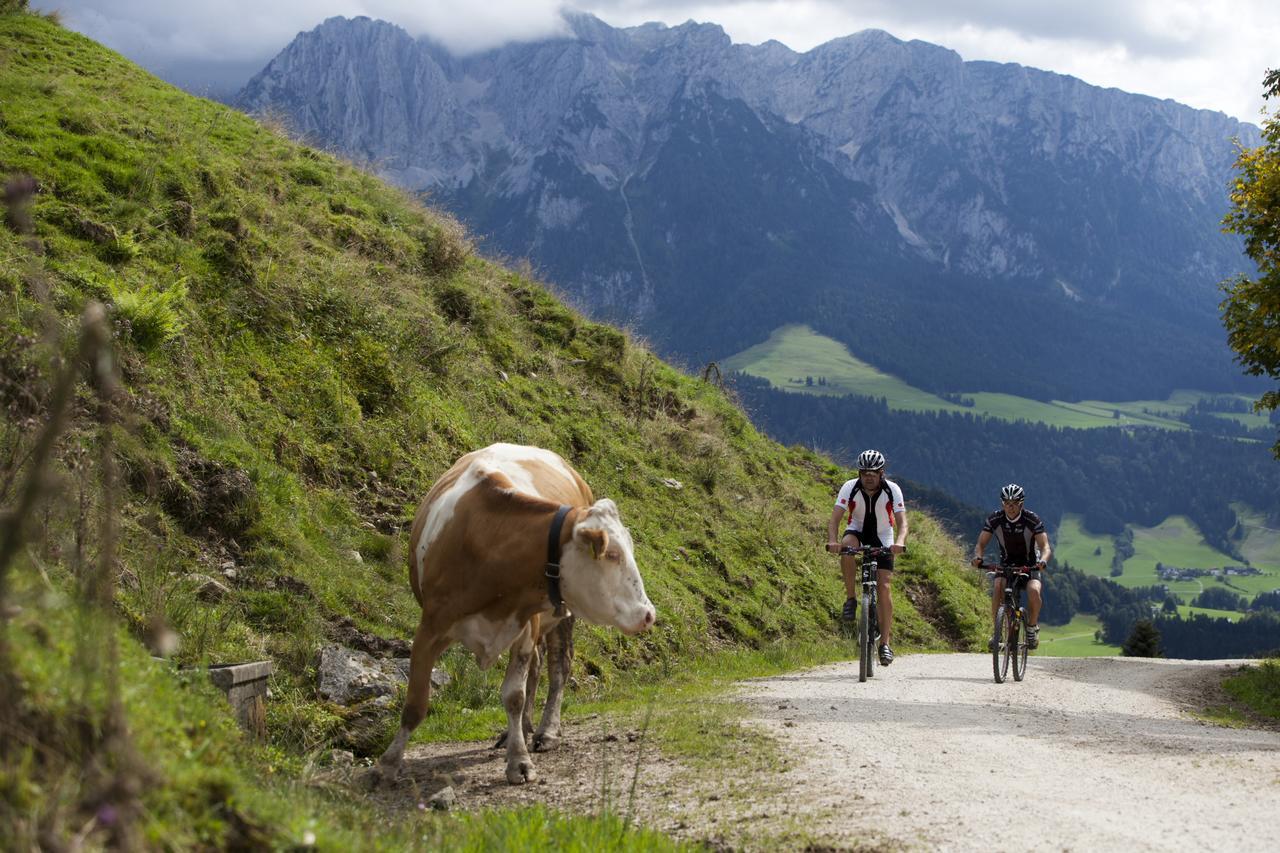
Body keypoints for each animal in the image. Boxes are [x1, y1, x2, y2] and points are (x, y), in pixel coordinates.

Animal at [371, 440, 650, 778]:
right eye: (611, 554)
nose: (648, 614)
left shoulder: (524, 628)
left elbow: (513, 696)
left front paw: (519, 760)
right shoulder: (429, 629)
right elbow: (415, 703)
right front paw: (387, 763)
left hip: (561, 617)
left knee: (559, 667)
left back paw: (545, 731)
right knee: (539, 667)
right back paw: (523, 728)